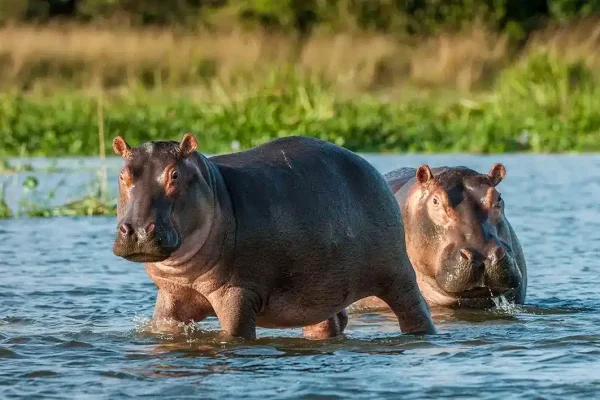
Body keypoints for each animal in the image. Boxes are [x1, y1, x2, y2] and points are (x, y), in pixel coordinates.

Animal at [110, 135, 434, 340]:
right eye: (123, 175)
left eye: (174, 174)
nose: (138, 230)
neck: (213, 187)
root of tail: (370, 168)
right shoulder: (171, 295)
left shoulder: (237, 293)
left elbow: (236, 334)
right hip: (320, 289)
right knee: (328, 322)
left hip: (397, 275)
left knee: (415, 310)